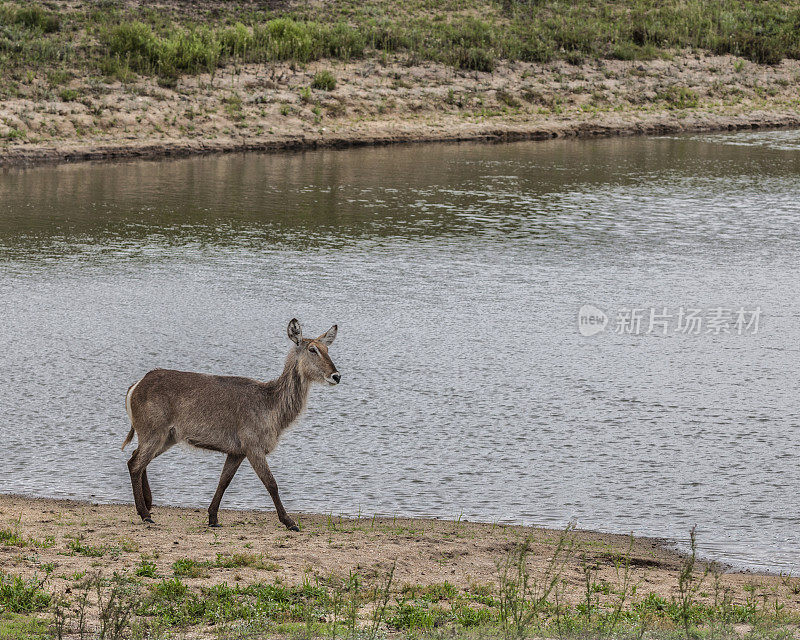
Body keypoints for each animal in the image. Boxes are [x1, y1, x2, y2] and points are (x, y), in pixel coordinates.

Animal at [120, 320, 340, 528]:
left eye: (327, 349)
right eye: (312, 349)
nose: (336, 376)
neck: (272, 408)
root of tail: (134, 386)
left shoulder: (236, 451)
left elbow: (224, 481)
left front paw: (213, 517)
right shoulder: (253, 446)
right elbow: (271, 483)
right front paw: (289, 522)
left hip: (167, 436)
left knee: (137, 459)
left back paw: (148, 504)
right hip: (153, 432)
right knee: (135, 464)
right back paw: (145, 514)